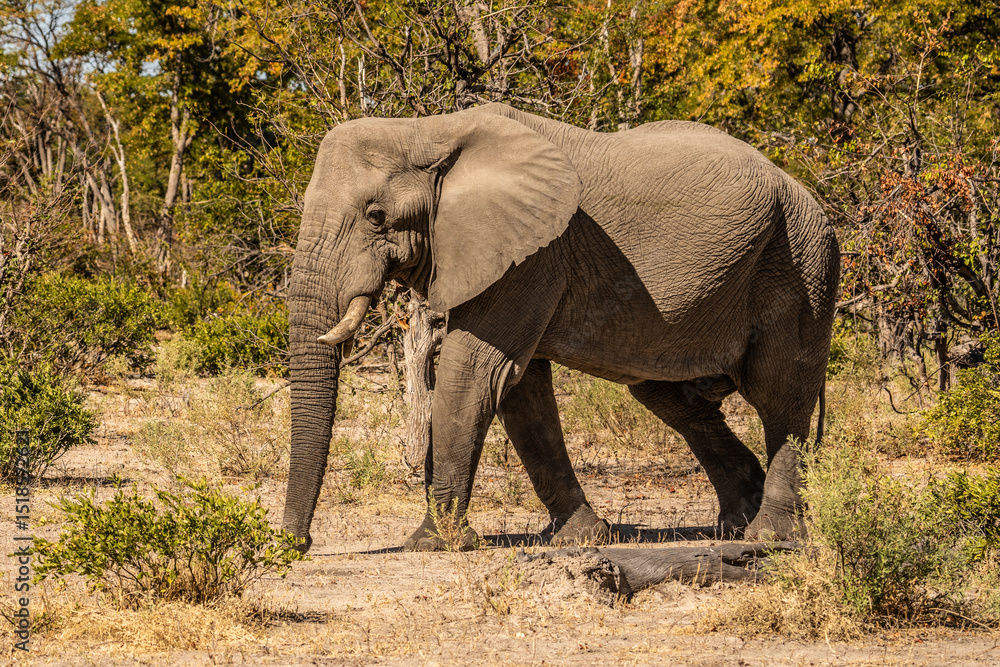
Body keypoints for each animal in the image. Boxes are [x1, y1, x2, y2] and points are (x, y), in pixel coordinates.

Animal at [280, 102, 840, 553]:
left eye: (376, 216)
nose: (294, 544)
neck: (427, 130)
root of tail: (808, 193)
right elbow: (520, 390)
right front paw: (582, 537)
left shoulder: (533, 256)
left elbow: (474, 372)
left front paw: (431, 543)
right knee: (671, 397)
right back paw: (734, 521)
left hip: (801, 263)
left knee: (781, 394)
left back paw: (769, 535)